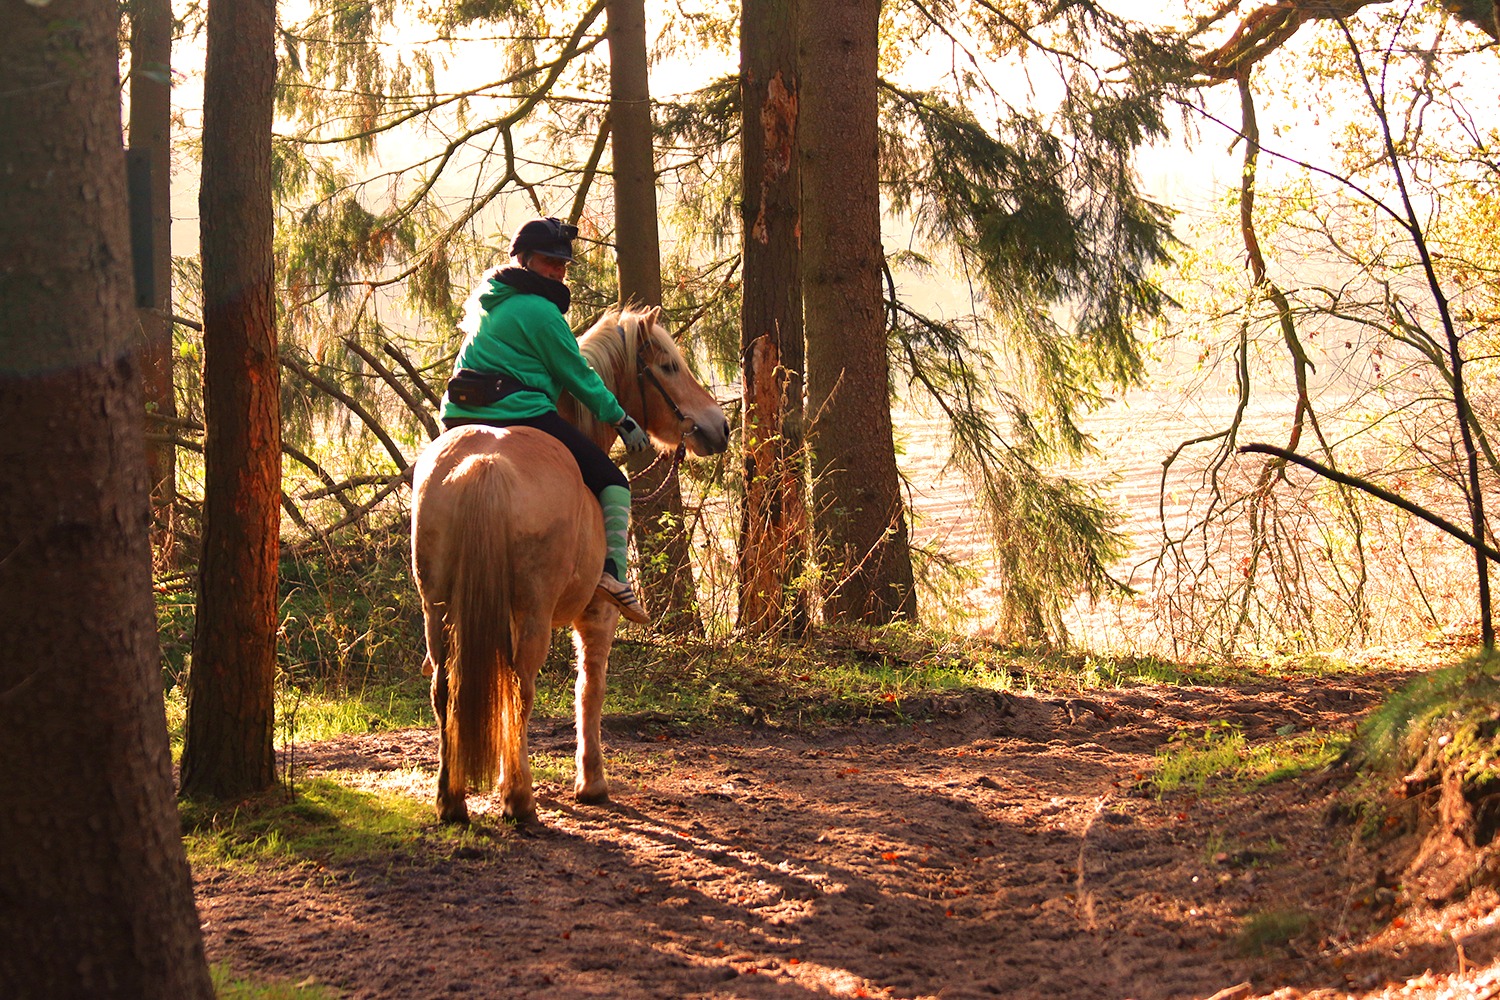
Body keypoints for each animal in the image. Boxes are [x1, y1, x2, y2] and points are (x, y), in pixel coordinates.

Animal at [411, 302, 726, 821]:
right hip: (534, 614)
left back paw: (451, 798)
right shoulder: (596, 615)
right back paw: (519, 801)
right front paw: (591, 782)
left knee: (445, 687)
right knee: (521, 687)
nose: (719, 426)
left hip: (437, 608)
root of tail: (484, 465)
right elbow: (589, 691)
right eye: (667, 367)